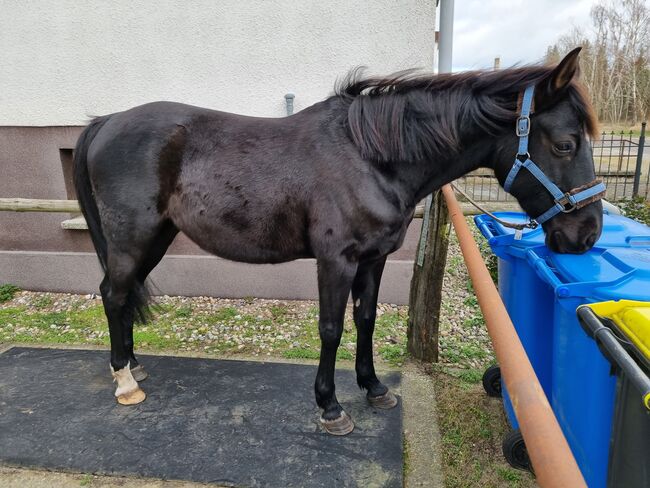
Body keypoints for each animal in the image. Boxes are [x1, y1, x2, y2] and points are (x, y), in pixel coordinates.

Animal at [74, 47, 596, 432]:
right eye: (565, 144)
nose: (587, 234)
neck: (371, 157)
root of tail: (108, 121)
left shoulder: (374, 259)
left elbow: (365, 320)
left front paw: (374, 389)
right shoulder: (336, 260)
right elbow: (331, 328)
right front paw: (330, 407)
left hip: (156, 238)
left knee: (121, 295)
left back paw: (133, 364)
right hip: (133, 238)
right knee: (113, 294)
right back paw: (125, 382)